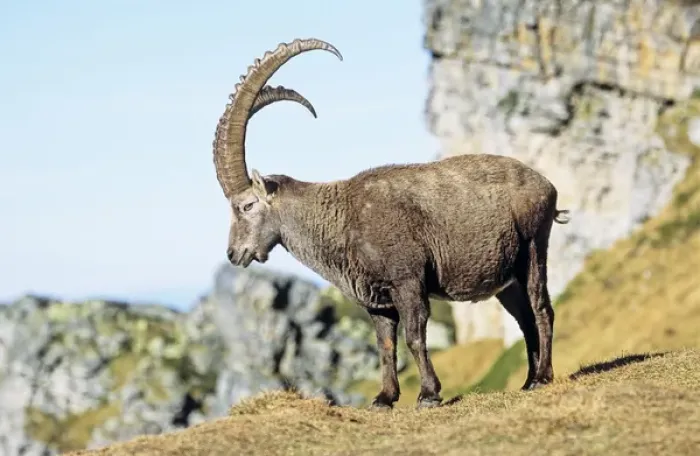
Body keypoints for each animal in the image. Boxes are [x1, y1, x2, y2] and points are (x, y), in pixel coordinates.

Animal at [211, 38, 571, 409]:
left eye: (247, 205)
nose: (234, 254)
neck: (340, 217)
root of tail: (545, 184)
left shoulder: (407, 280)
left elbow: (414, 335)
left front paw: (428, 394)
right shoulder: (377, 300)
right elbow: (385, 345)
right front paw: (384, 398)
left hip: (533, 247)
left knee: (542, 308)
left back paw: (542, 377)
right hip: (506, 278)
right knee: (524, 319)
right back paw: (527, 380)